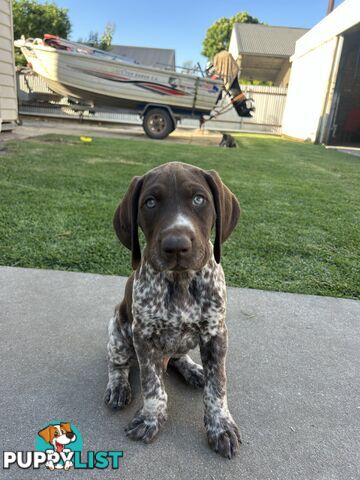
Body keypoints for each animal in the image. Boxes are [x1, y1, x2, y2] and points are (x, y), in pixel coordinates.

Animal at [104, 161, 242, 458]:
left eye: (199, 199)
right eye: (150, 202)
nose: (176, 245)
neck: (180, 282)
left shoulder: (216, 334)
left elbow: (217, 386)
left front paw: (221, 426)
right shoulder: (143, 337)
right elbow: (152, 385)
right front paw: (150, 418)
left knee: (179, 357)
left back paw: (193, 369)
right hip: (117, 331)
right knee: (118, 364)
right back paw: (118, 386)